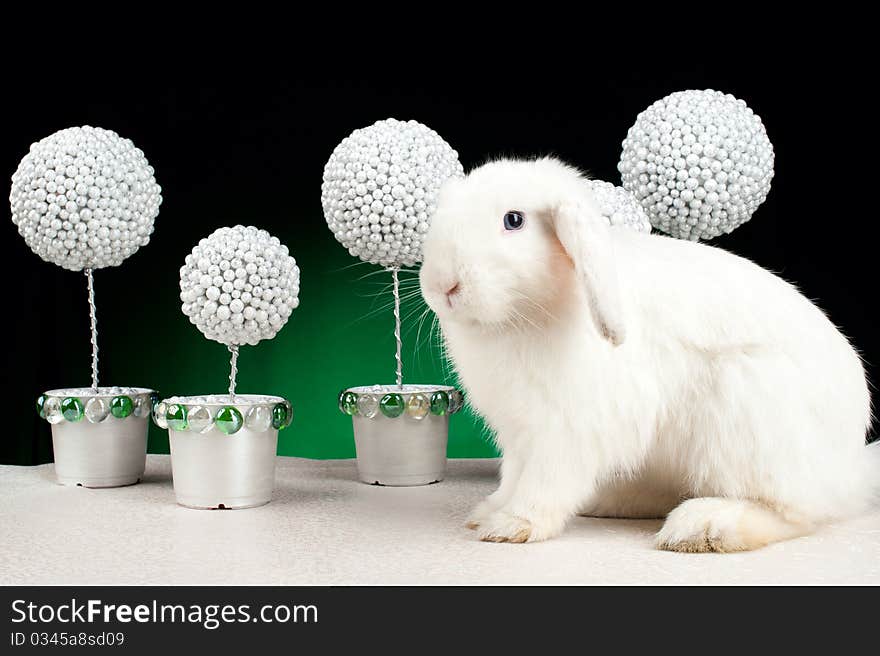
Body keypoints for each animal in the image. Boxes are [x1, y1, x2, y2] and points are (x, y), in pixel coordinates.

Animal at [420, 156, 872, 552]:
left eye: (513, 220)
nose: (443, 284)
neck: (524, 316)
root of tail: (849, 471)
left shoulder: (566, 428)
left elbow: (545, 479)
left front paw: (513, 524)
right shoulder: (518, 432)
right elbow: (513, 475)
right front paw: (488, 511)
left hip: (748, 422)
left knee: (794, 513)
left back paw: (703, 527)